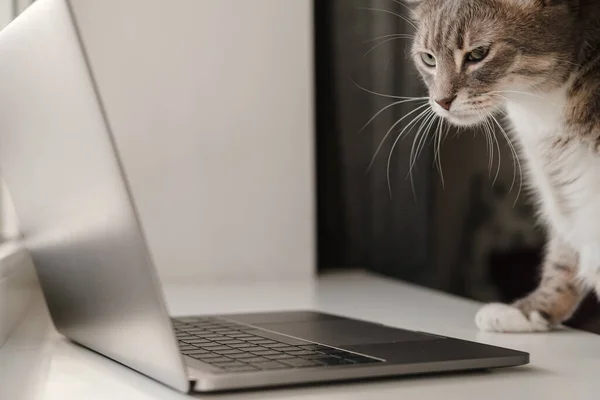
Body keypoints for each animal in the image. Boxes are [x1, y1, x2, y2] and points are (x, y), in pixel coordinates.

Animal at [404, 0, 600, 332]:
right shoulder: (562, 187)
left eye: (478, 54)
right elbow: (562, 258)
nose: (441, 101)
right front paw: (528, 312)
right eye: (428, 59)